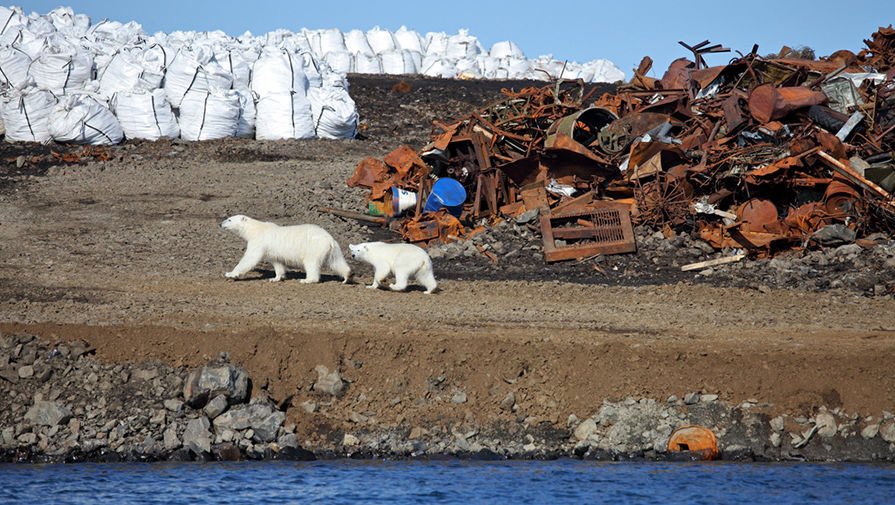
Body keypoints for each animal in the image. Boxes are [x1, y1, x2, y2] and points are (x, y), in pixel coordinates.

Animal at [220, 214, 350, 284]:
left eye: (229, 219)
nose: (220, 224)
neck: (255, 229)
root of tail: (329, 239)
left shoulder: (259, 241)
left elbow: (250, 258)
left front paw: (230, 274)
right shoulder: (272, 250)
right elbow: (277, 262)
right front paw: (275, 278)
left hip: (314, 247)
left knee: (311, 262)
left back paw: (306, 280)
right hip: (333, 249)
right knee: (337, 262)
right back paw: (346, 277)